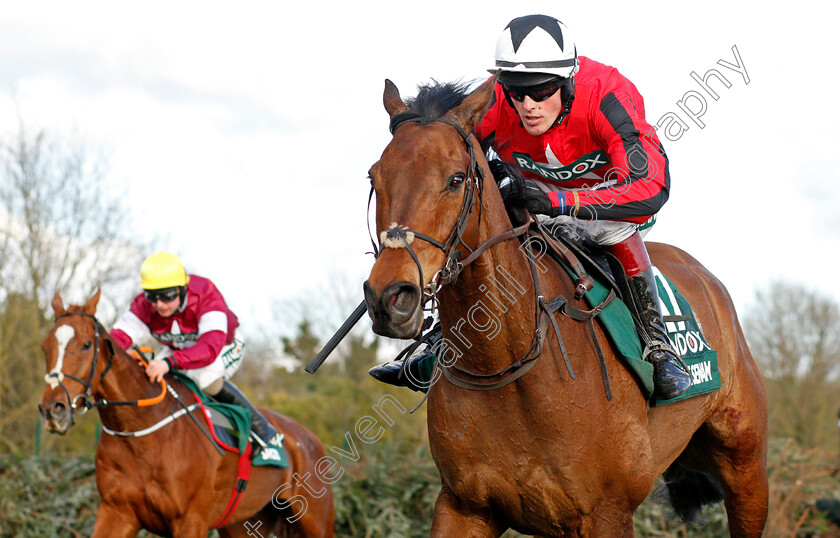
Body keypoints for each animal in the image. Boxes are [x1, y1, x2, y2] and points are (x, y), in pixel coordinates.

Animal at [38, 292, 334, 532]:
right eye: (45, 346)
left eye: (87, 344)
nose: (53, 409)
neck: (141, 436)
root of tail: (309, 437)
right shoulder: (116, 512)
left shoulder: (191, 520)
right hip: (242, 523)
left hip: (315, 517)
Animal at [360, 77, 768, 532]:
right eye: (375, 177)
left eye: (456, 179)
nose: (390, 297)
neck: (507, 365)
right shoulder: (464, 504)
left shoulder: (607, 512)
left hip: (746, 470)